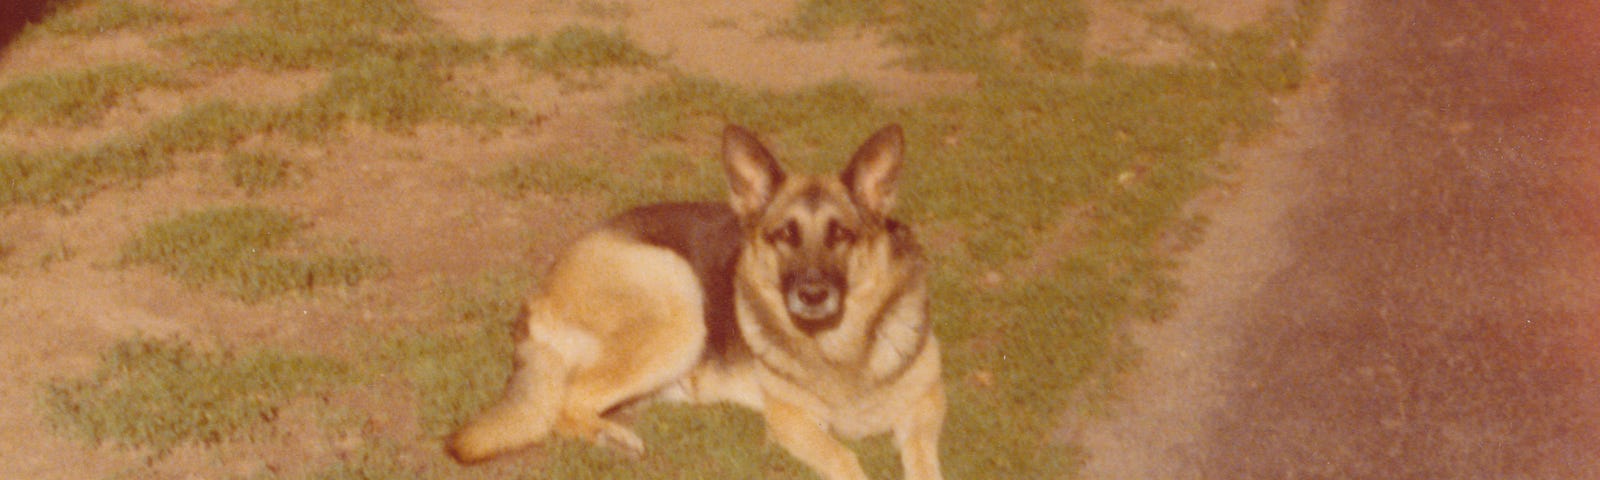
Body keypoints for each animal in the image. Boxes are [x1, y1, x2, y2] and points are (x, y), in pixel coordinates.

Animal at [444, 125, 940, 476]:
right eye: (784, 235)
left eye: (841, 235)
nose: (812, 294)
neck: (841, 345)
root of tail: (540, 291)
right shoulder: (792, 420)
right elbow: (846, 460)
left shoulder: (926, 410)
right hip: (679, 304)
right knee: (563, 404)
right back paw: (612, 438)